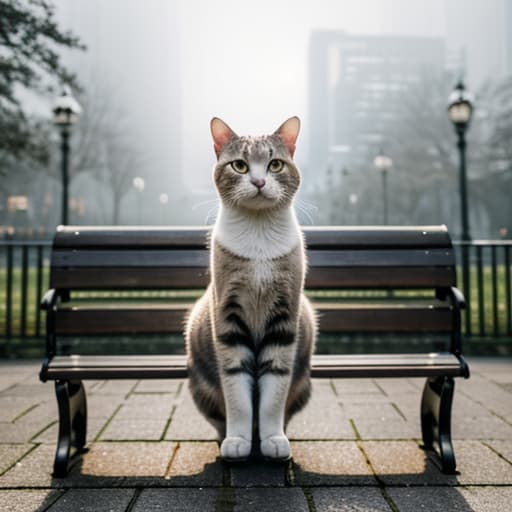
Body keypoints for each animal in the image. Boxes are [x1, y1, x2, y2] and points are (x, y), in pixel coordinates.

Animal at [184, 118, 316, 462]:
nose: (258, 181)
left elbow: (274, 393)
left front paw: (273, 439)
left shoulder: (284, 318)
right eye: (240, 165)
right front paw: (238, 440)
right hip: (199, 384)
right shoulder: (228, 318)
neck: (258, 234)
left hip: (304, 382)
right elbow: (237, 393)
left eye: (275, 164)